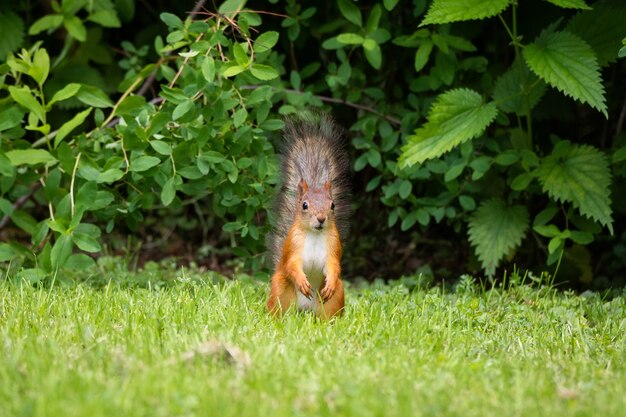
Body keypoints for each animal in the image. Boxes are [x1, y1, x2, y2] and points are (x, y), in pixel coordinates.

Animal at [264, 114, 348, 318]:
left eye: (332, 205)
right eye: (304, 205)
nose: (321, 219)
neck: (315, 235)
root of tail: (305, 310)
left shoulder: (333, 246)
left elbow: (334, 266)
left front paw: (330, 282)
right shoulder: (293, 246)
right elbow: (292, 265)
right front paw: (302, 281)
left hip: (334, 297)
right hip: (280, 289)